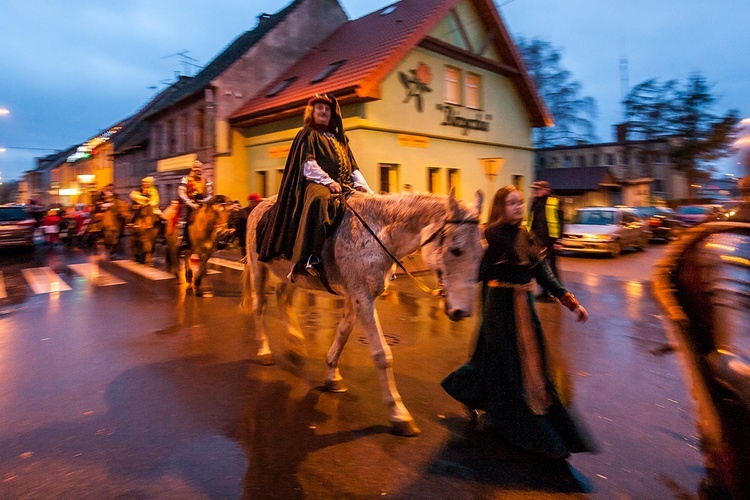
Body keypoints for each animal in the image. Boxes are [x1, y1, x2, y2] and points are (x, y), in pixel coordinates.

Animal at [244, 189, 484, 436]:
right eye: (456, 250)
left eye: (481, 252)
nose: (461, 312)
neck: (377, 235)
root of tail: (257, 206)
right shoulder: (362, 295)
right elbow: (381, 354)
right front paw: (399, 413)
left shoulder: (356, 295)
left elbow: (342, 333)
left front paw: (332, 375)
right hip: (258, 267)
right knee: (259, 305)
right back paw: (264, 351)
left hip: (293, 276)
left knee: (283, 298)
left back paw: (295, 345)